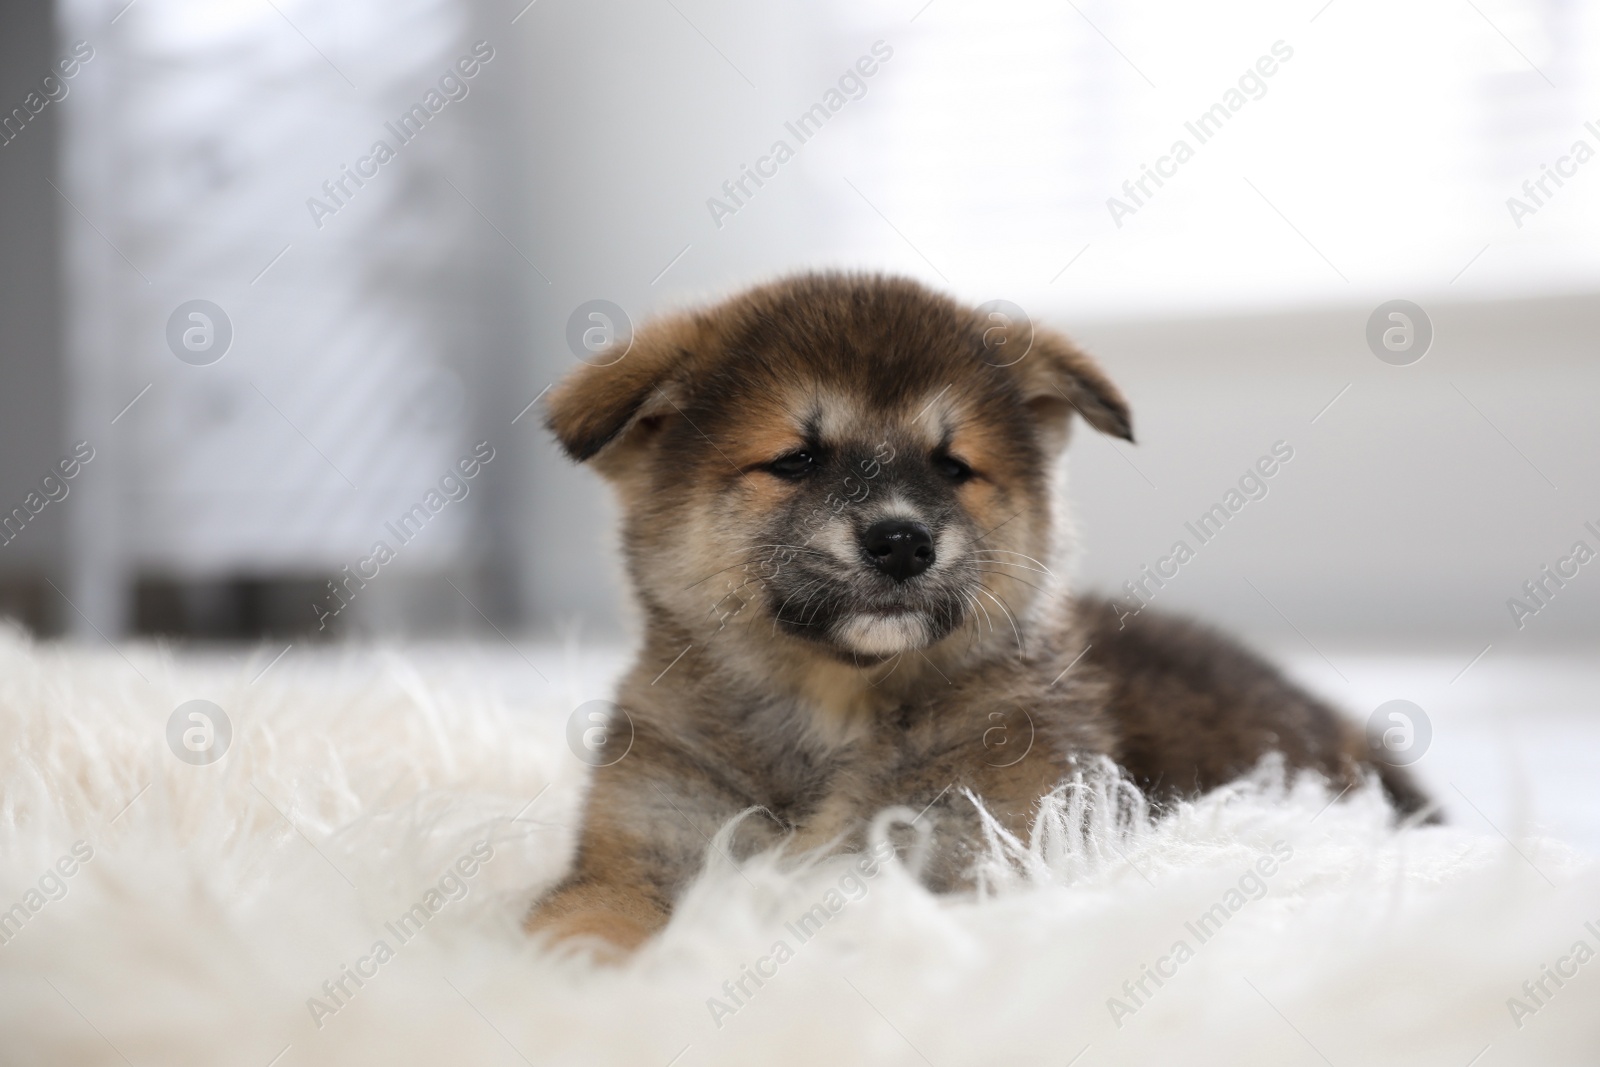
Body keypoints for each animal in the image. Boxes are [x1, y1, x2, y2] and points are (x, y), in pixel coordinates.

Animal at [531, 273, 1433, 953]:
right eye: (797, 459)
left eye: (953, 466)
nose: (902, 542)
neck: (835, 710)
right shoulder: (640, 845)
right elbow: (592, 926)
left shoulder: (986, 849)